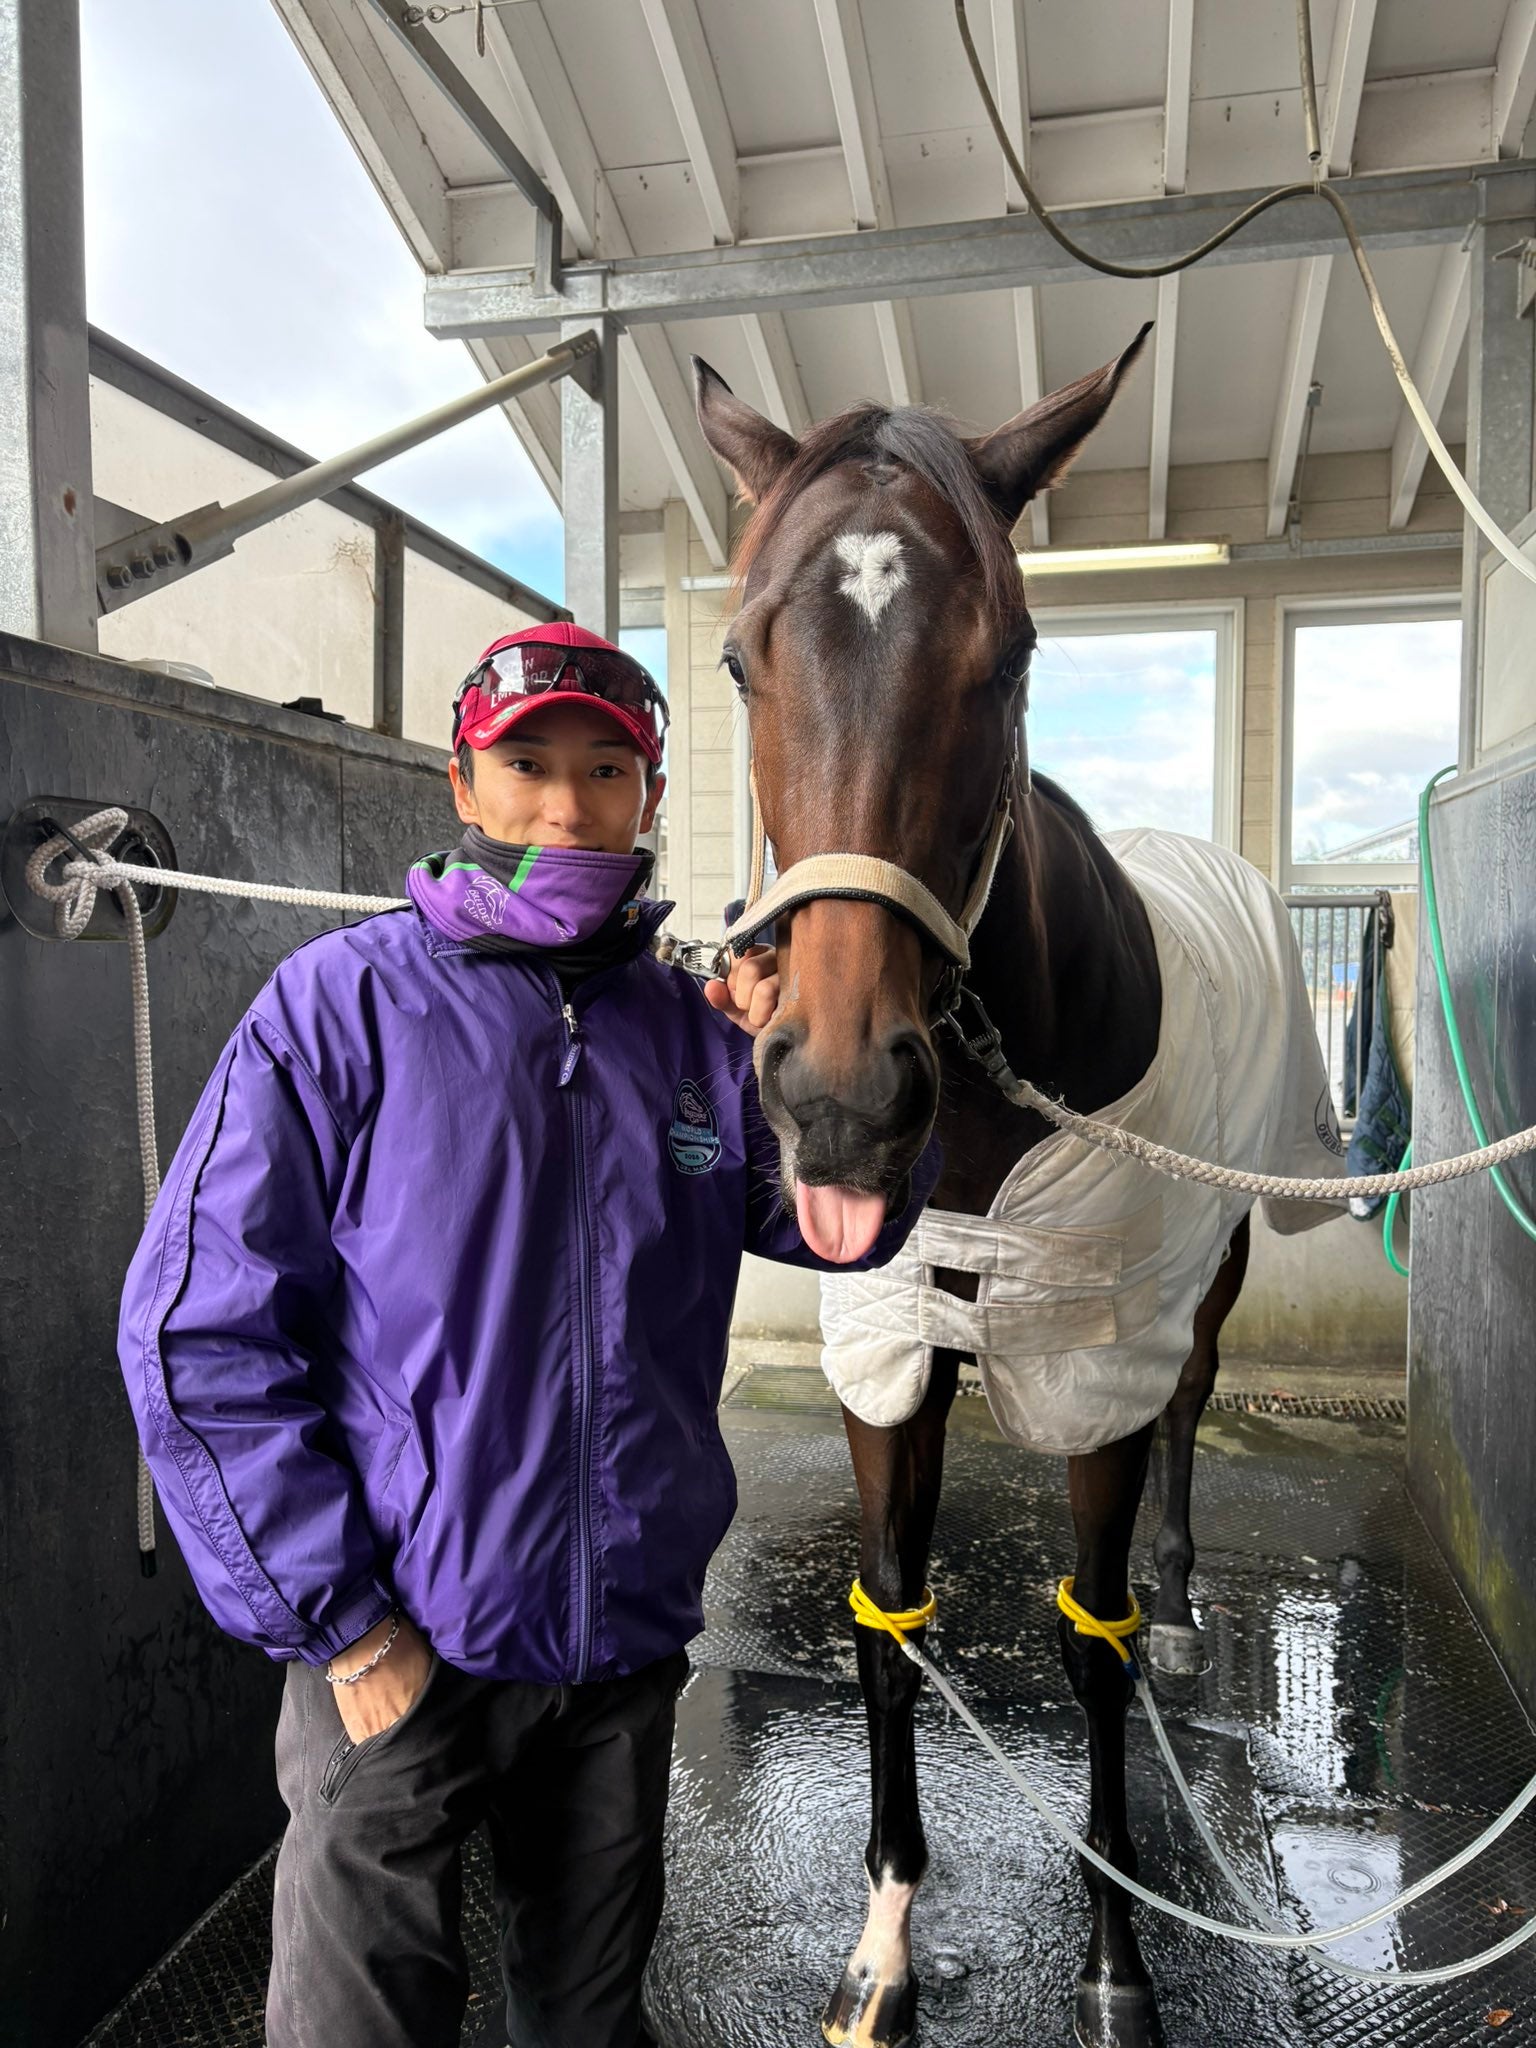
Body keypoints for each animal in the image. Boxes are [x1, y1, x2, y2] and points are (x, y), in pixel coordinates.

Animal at [691, 329, 1342, 2048]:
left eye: (1015, 655)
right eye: (740, 661)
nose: (843, 1101)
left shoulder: (1093, 1349)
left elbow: (1087, 1642)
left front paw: (1118, 1958)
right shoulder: (888, 1350)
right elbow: (890, 1627)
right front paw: (883, 1948)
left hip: (1208, 1262)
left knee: (1191, 1407)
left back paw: (1182, 1603)